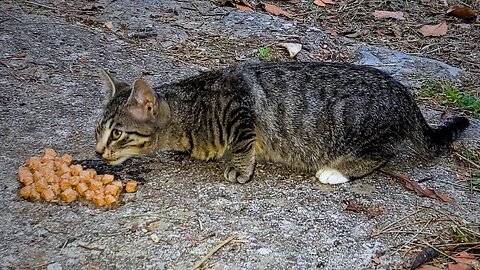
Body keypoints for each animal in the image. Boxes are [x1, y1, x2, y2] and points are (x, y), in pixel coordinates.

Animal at [94, 61, 468, 185]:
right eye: (98, 131)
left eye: (117, 133)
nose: (98, 152)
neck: (191, 111)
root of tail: (403, 92)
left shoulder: (241, 106)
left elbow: (242, 144)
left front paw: (239, 169)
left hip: (361, 128)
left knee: (382, 155)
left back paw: (337, 171)